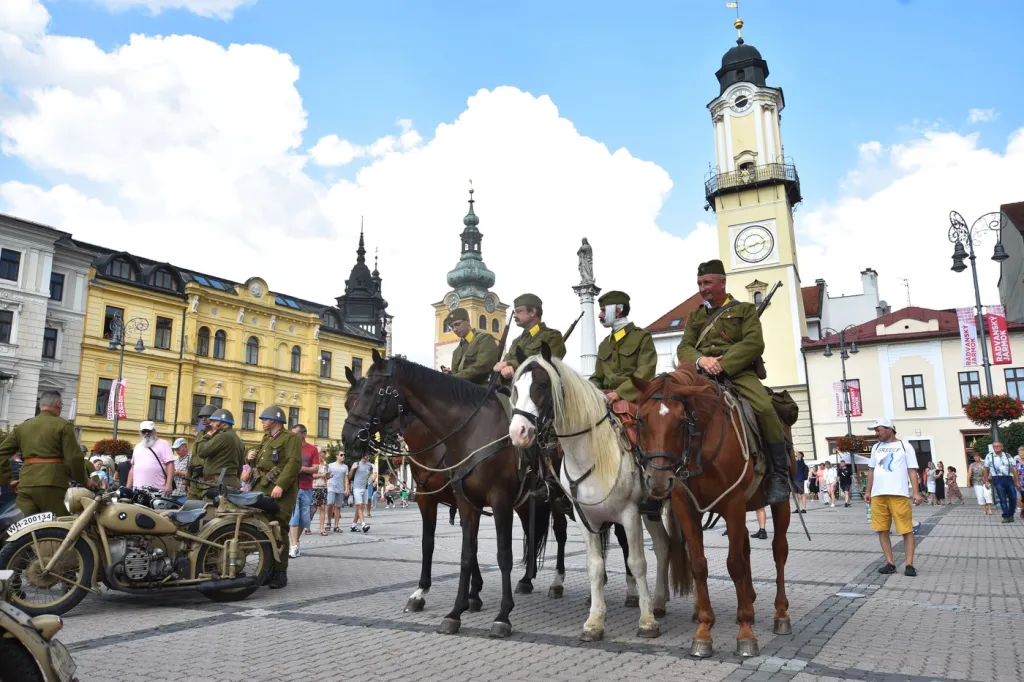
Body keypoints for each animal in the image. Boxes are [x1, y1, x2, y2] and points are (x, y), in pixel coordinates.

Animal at [342, 348, 520, 634]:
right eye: (348, 403)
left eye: (370, 392)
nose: (349, 439)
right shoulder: (432, 500)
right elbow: (434, 543)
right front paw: (424, 592)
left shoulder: (491, 499)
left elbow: (489, 550)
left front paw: (480, 600)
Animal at [507, 348, 684, 638]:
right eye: (516, 389)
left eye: (541, 386)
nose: (518, 432)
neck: (592, 454)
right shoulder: (585, 518)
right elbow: (595, 565)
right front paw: (594, 621)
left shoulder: (629, 515)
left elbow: (636, 562)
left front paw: (646, 621)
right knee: (663, 545)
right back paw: (659, 601)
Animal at [630, 366, 790, 659]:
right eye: (642, 420)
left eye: (681, 421)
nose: (657, 482)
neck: (699, 448)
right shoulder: (686, 508)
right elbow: (699, 565)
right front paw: (704, 632)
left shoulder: (733, 503)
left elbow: (735, 564)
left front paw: (745, 632)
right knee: (746, 546)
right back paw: (748, 600)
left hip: (780, 504)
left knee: (779, 551)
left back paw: (781, 614)